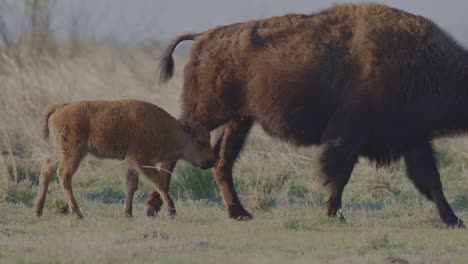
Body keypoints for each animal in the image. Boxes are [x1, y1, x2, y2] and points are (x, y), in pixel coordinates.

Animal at [34, 100, 214, 218]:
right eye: (201, 142)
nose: (211, 161)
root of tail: (61, 107)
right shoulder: (142, 162)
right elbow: (159, 183)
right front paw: (172, 211)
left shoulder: (133, 163)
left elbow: (131, 186)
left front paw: (127, 213)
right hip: (73, 153)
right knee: (63, 174)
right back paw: (77, 214)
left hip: (61, 152)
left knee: (47, 168)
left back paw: (38, 210)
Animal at [154, 2, 468, 227]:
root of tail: (204, 37)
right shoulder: (348, 136)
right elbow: (339, 175)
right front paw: (333, 214)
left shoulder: (413, 138)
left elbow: (432, 180)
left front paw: (454, 219)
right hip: (208, 114)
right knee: (179, 152)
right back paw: (159, 209)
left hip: (239, 121)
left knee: (221, 164)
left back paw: (239, 213)